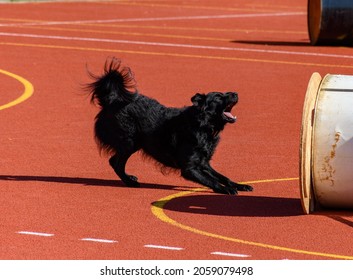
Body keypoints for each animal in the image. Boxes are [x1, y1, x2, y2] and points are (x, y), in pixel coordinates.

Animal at [86, 58, 252, 195]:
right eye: (218, 97)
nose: (235, 93)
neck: (201, 125)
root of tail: (112, 100)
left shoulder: (203, 163)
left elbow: (222, 176)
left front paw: (239, 185)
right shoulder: (190, 167)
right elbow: (211, 180)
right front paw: (226, 189)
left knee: (115, 161)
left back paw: (129, 178)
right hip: (129, 142)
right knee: (116, 163)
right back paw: (130, 182)